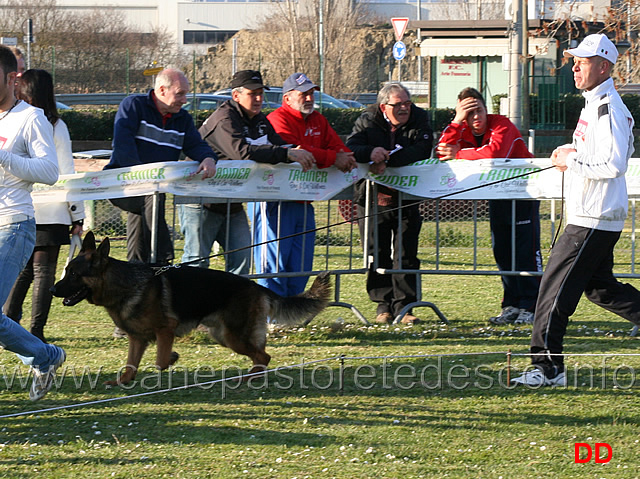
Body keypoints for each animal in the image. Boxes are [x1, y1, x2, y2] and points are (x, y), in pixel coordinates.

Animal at [51, 232, 330, 386]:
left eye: (74, 274)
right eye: (66, 270)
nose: (53, 290)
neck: (125, 284)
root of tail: (255, 286)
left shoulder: (166, 330)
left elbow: (161, 360)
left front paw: (172, 358)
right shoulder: (137, 338)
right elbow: (130, 365)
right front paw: (122, 382)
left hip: (233, 336)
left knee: (264, 357)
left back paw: (246, 380)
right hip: (224, 336)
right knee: (261, 354)